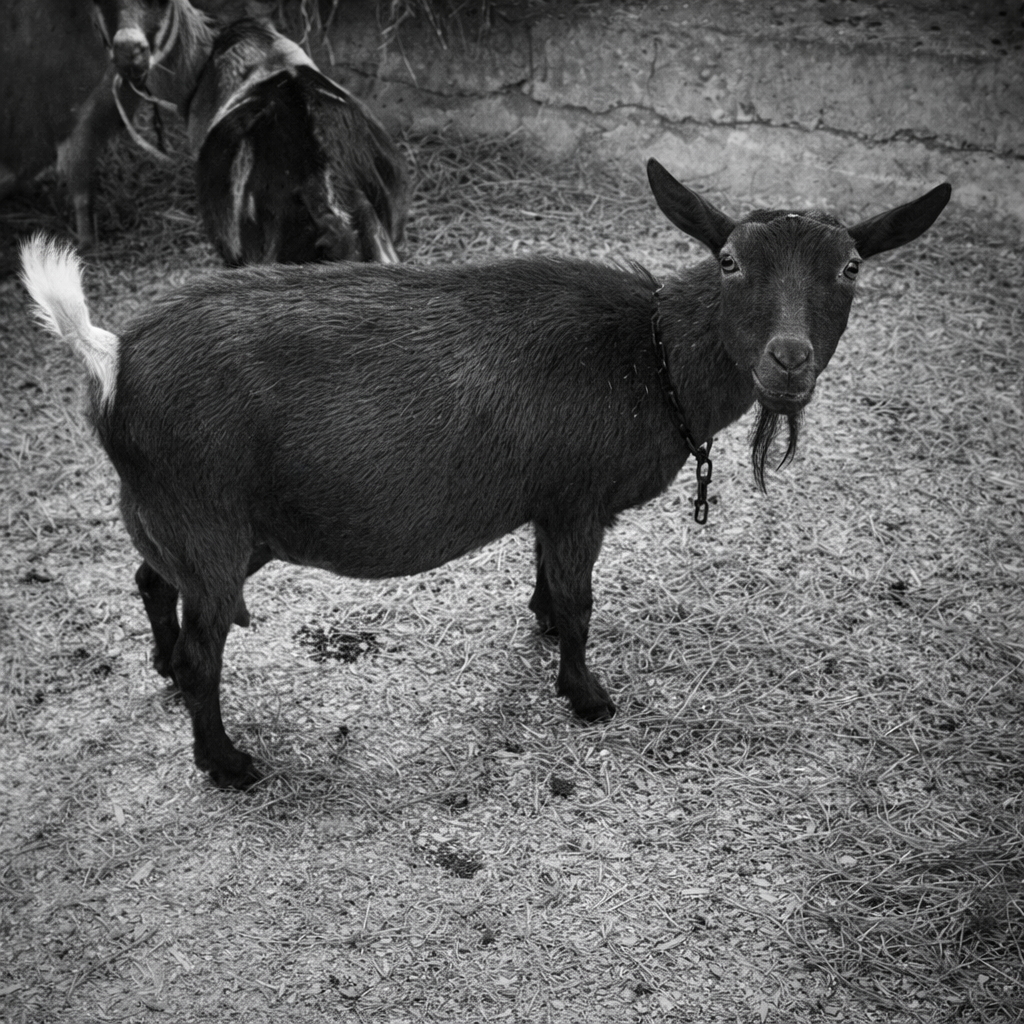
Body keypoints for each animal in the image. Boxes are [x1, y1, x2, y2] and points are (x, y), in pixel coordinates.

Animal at [21, 160, 951, 789]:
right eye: (728, 260)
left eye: (851, 267)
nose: (788, 362)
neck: (648, 357)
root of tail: (113, 358)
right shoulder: (578, 497)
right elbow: (581, 600)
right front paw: (586, 694)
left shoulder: (553, 500)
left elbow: (547, 580)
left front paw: (539, 627)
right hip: (210, 523)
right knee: (205, 649)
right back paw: (226, 762)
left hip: (184, 519)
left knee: (152, 583)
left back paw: (163, 672)